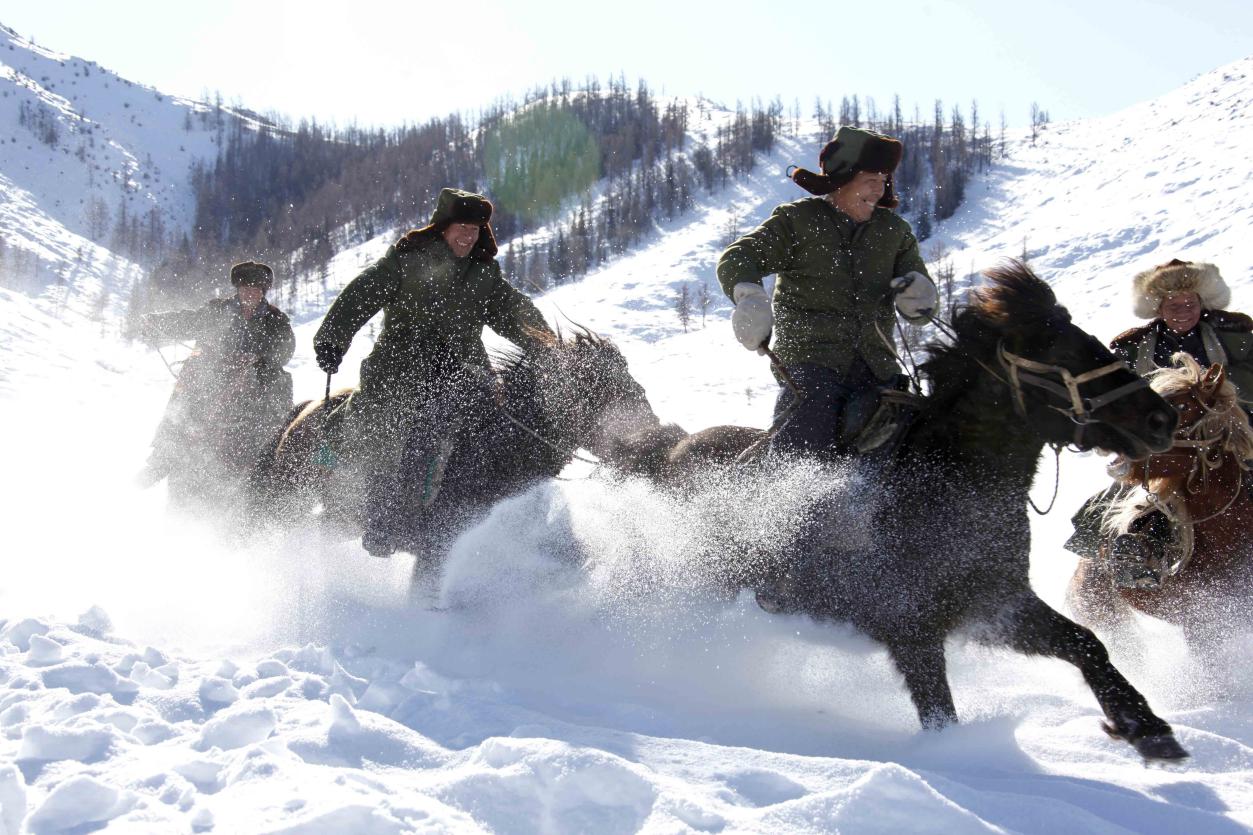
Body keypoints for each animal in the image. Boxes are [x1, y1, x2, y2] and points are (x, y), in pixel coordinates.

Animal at [250, 328, 658, 559]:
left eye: (636, 386)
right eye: (610, 391)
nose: (654, 438)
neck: (492, 439)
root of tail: (303, 412)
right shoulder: (439, 540)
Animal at [601, 262, 1188, 760]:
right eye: (1061, 352)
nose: (1162, 419)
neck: (946, 486)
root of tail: (670, 449)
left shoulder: (994, 607)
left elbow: (1088, 644)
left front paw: (1148, 730)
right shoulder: (914, 635)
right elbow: (941, 714)